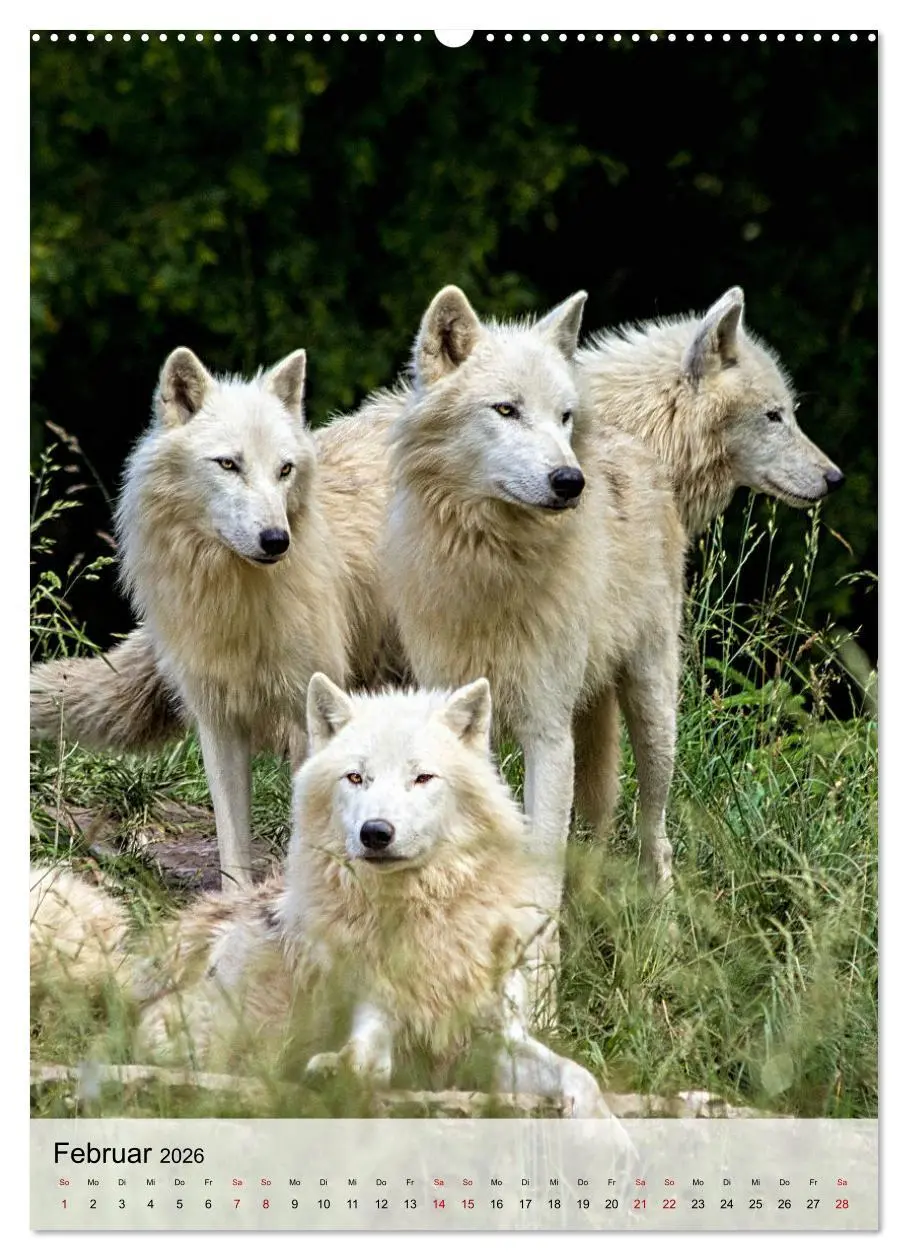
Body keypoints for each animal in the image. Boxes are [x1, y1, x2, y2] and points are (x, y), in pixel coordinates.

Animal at [31, 677, 613, 1118]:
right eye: (356, 777)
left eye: (422, 778)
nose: (376, 832)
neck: (421, 917)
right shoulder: (376, 1013)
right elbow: (367, 1057)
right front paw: (338, 1072)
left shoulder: (497, 1037)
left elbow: (580, 1076)